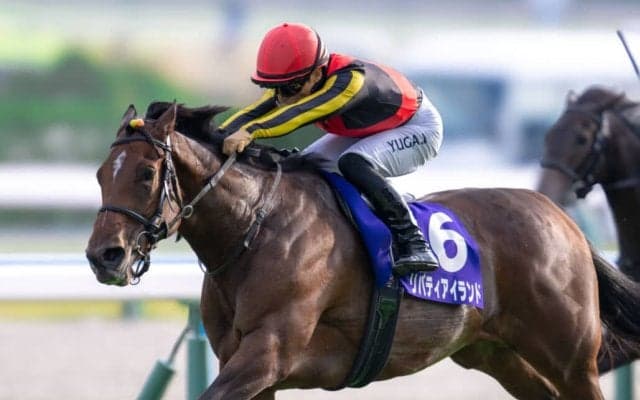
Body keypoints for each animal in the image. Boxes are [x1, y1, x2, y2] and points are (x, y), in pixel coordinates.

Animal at [86, 101, 640, 399]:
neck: (255, 229)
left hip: (571, 357)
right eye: (99, 174)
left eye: (146, 174)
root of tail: (563, 219)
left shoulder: (269, 351)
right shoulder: (247, 365)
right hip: (496, 352)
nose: (103, 256)